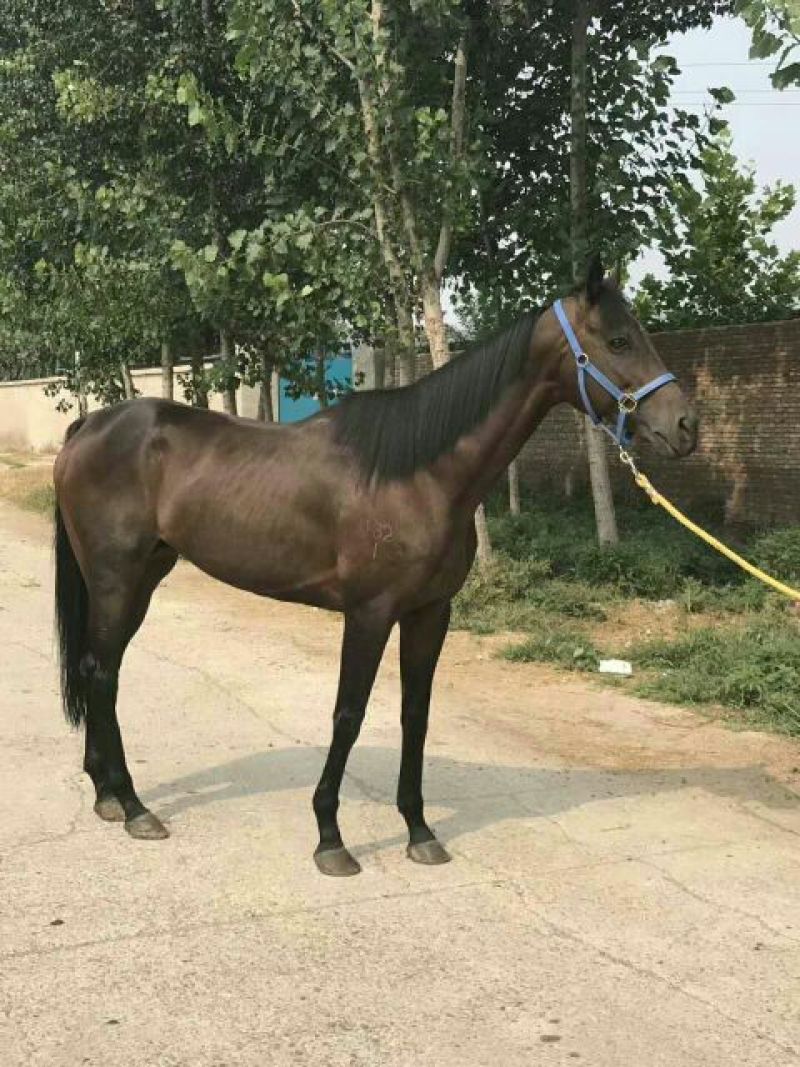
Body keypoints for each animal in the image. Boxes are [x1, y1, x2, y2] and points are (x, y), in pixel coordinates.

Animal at [53, 258, 698, 876]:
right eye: (618, 340)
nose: (686, 426)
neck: (419, 473)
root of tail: (90, 425)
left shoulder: (430, 612)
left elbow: (416, 714)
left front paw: (419, 831)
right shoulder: (368, 613)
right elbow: (349, 715)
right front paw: (330, 839)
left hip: (143, 577)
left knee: (98, 668)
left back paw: (107, 795)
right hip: (115, 578)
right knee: (103, 673)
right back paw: (134, 806)